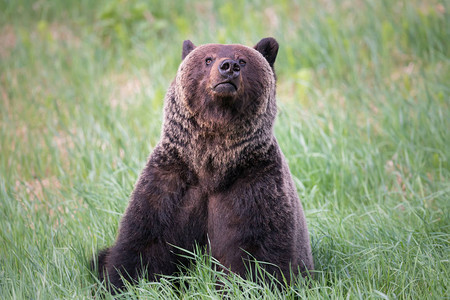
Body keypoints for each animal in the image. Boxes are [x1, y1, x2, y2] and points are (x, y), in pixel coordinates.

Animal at [92, 37, 312, 292]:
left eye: (243, 61)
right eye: (208, 59)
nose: (228, 67)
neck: (211, 166)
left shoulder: (255, 183)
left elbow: (259, 251)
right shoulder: (172, 182)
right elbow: (144, 241)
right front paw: (124, 283)